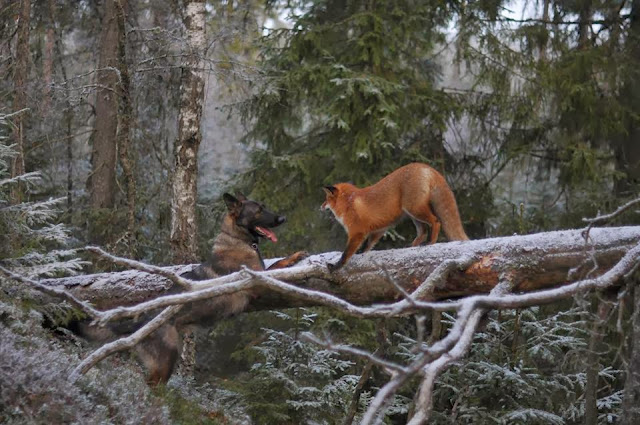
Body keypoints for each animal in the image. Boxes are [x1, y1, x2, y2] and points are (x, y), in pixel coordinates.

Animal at [77, 192, 308, 384]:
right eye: (258, 210)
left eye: (264, 206)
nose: (282, 219)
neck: (237, 239)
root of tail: (139, 323)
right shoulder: (255, 280)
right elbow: (275, 269)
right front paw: (294, 260)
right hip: (168, 357)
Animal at [322, 161, 468, 270]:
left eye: (326, 199)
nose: (321, 206)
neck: (348, 203)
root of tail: (425, 166)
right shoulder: (378, 230)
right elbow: (367, 245)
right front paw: (361, 253)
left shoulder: (357, 232)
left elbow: (346, 253)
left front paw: (336, 266)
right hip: (413, 214)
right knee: (423, 231)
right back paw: (412, 246)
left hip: (414, 209)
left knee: (436, 221)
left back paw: (430, 242)